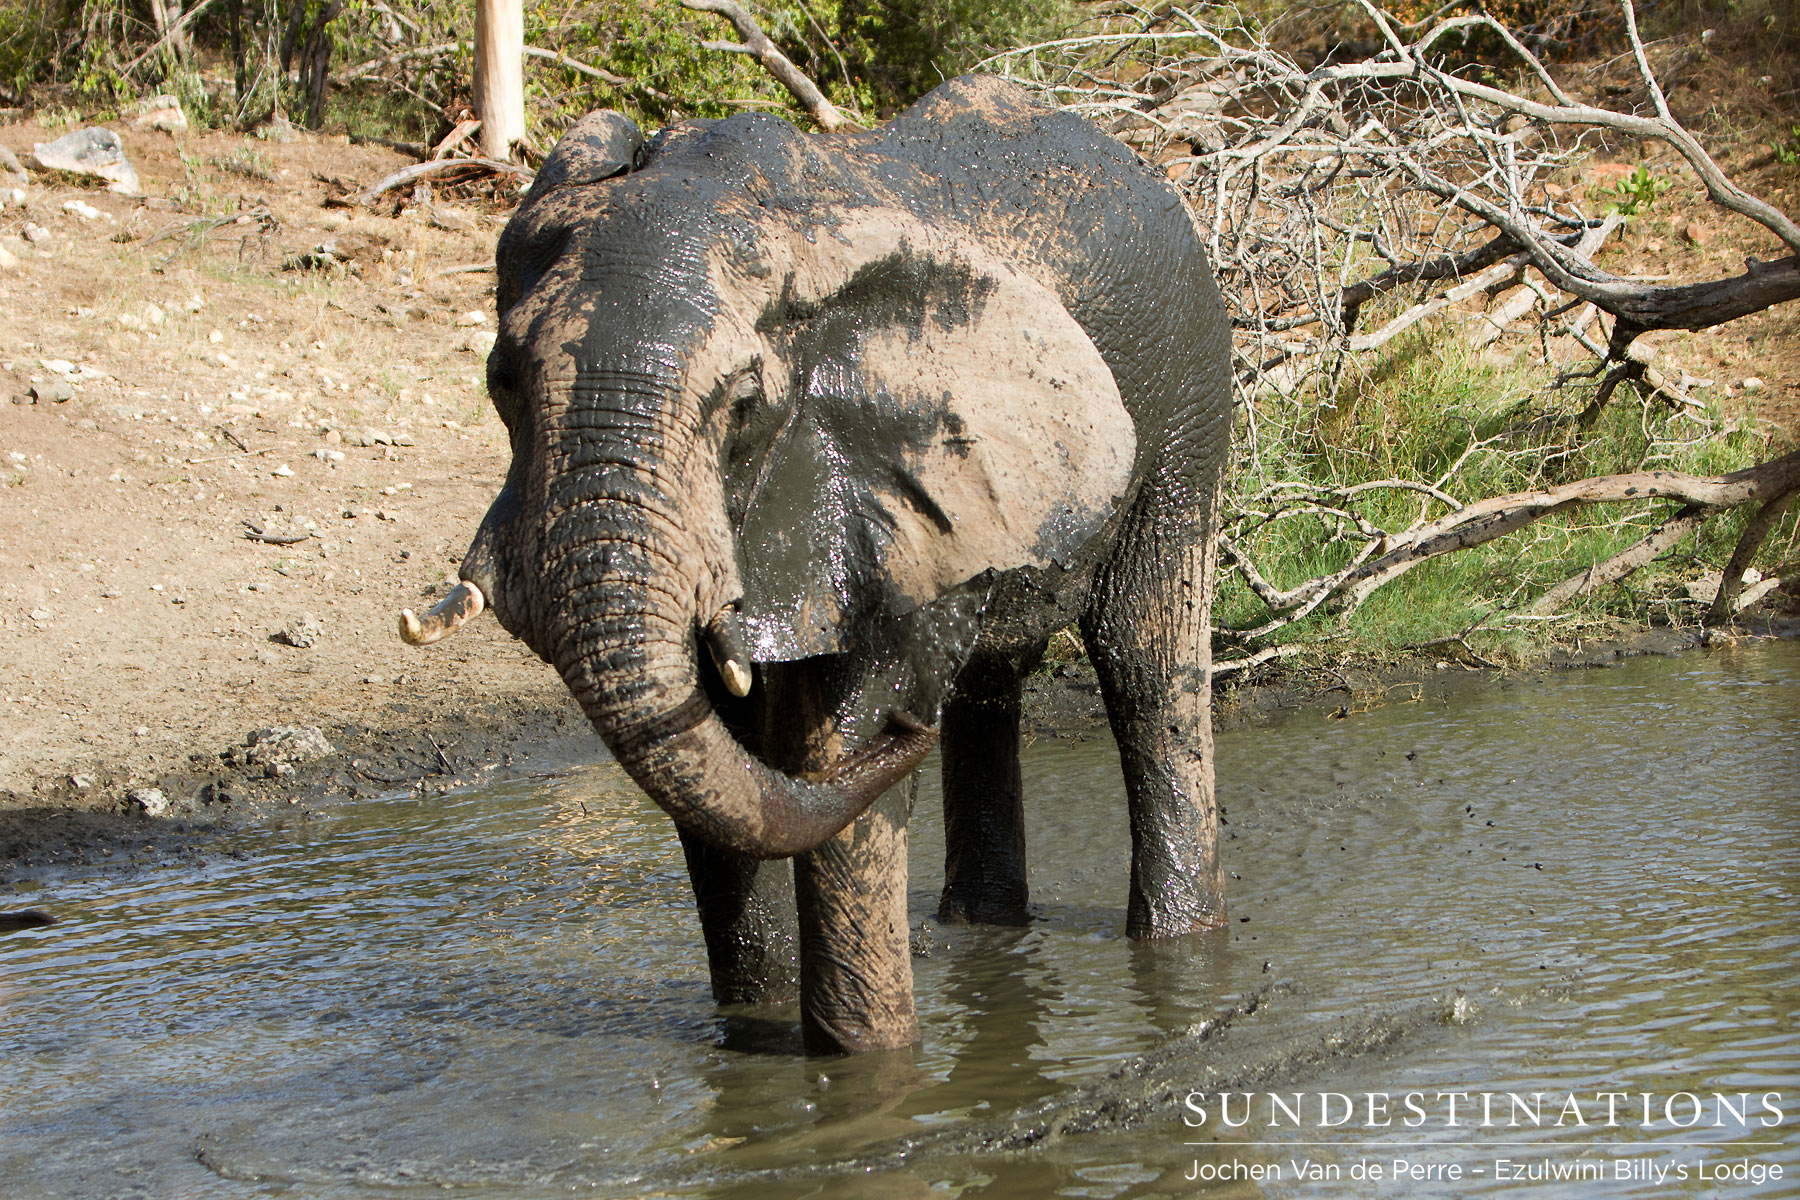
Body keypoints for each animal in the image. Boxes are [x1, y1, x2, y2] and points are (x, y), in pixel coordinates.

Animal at [400, 75, 1234, 1054]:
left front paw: (864, 1070)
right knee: (988, 687)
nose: (907, 728)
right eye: (500, 381)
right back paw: (981, 923)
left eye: (743, 404)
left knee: (1147, 659)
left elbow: (830, 748)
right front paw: (754, 1026)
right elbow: (722, 754)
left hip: (1187, 391)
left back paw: (1177, 944)